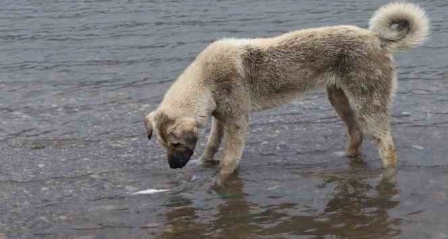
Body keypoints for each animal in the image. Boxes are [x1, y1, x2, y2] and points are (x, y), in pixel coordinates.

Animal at [145, 2, 428, 181]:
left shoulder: (237, 121)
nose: (172, 167)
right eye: (163, 145)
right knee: (355, 132)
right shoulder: (220, 117)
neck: (206, 80)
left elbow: (229, 158)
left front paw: (220, 181)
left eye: (176, 143)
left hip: (367, 104)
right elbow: (212, 145)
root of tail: (377, 39)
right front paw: (205, 164)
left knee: (386, 146)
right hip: (338, 97)